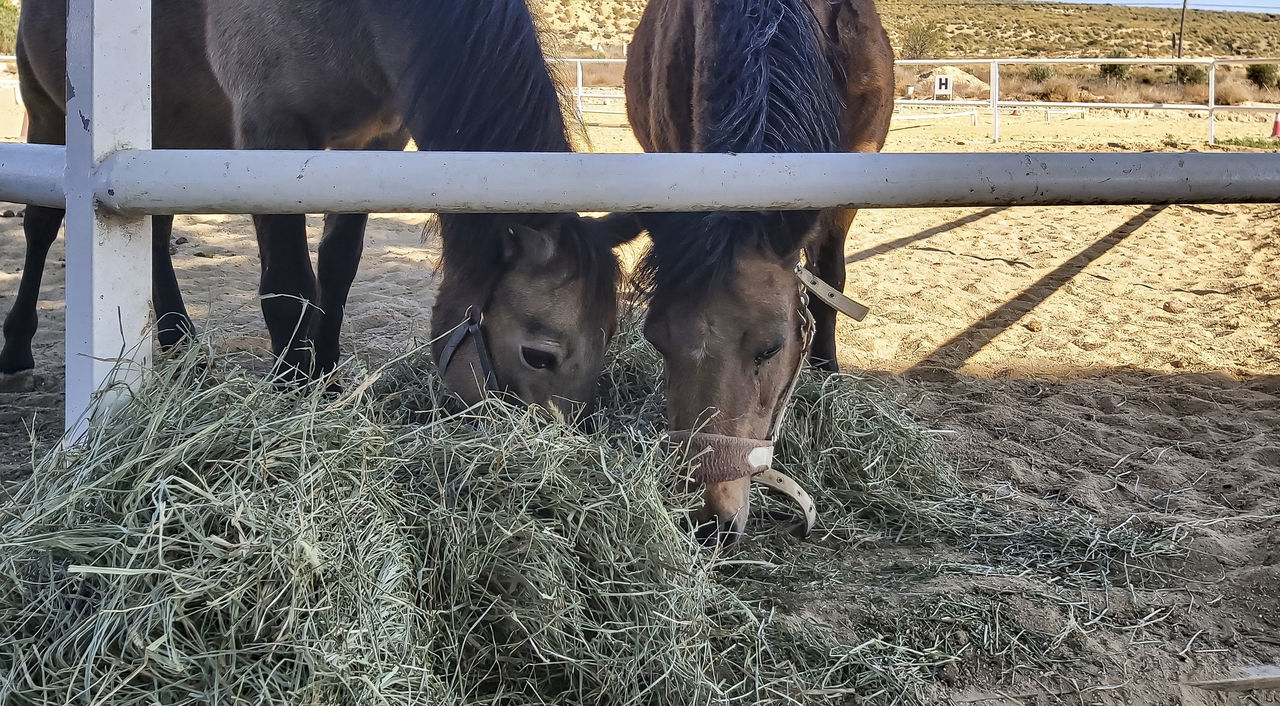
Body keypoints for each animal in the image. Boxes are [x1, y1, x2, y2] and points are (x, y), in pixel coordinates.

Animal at [0, 0, 640, 416]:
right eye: (539, 355)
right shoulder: (269, 135)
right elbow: (287, 283)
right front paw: (292, 386)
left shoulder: (375, 144)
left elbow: (339, 265)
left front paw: (326, 372)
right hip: (48, 112)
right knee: (41, 226)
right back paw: (17, 348)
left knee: (153, 237)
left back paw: (183, 349)